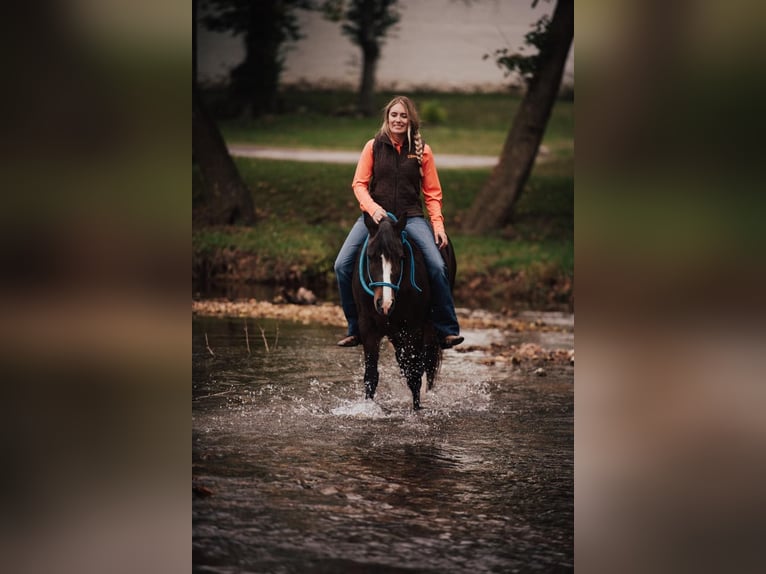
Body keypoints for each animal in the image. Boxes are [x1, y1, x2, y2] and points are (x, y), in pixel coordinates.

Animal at [352, 214, 460, 412]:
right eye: (370, 256)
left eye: (400, 257)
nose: (385, 303)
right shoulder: (368, 329)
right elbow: (371, 376)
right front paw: (368, 407)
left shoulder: (413, 329)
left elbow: (415, 375)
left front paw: (417, 408)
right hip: (396, 335)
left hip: (427, 331)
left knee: (428, 365)